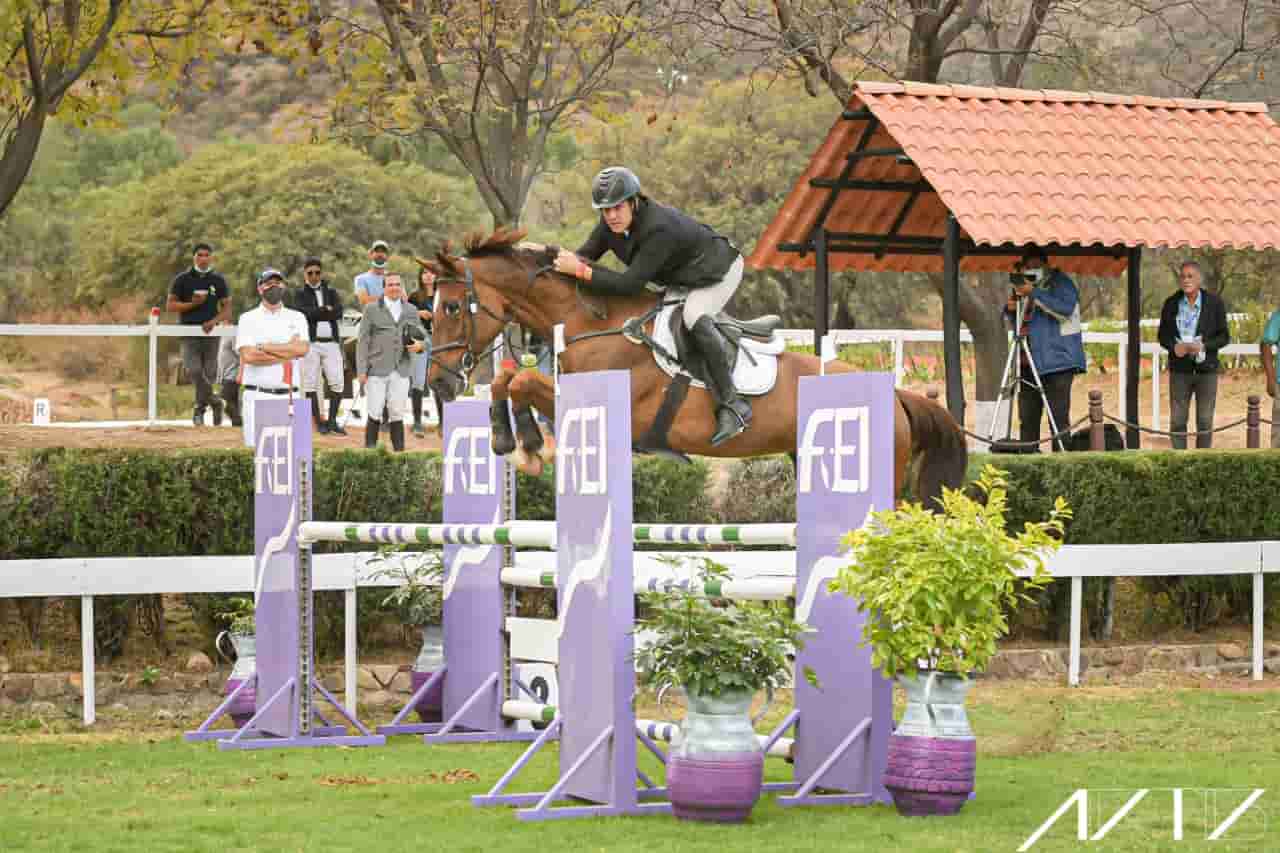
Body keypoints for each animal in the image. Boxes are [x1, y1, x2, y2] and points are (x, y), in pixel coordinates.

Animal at [424, 225, 962, 504]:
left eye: (450, 308)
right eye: (427, 310)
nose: (438, 385)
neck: (590, 320)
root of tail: (897, 394)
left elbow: (523, 381)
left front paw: (530, 447)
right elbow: (507, 378)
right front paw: (509, 440)